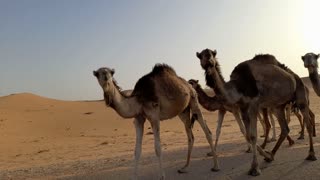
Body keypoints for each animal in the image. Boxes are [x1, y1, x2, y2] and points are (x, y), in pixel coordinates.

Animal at [195, 48, 316, 176]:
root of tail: (294, 76)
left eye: (212, 54)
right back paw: (271, 155)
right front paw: (263, 157)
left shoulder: (253, 105)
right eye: (201, 56)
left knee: (307, 123)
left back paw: (311, 154)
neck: (238, 87)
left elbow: (253, 136)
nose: (209, 60)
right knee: (284, 128)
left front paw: (254, 168)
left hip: (301, 95)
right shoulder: (243, 108)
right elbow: (247, 135)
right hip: (278, 106)